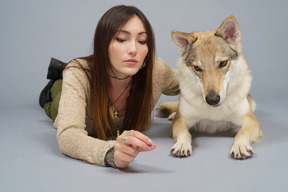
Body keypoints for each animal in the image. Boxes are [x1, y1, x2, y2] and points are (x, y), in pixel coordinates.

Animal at [158, 15, 264, 159]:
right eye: (197, 68)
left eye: (223, 63)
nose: (212, 100)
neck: (214, 111)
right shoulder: (180, 122)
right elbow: (186, 133)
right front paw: (181, 145)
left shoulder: (251, 121)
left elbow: (241, 133)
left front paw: (240, 146)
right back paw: (173, 114)